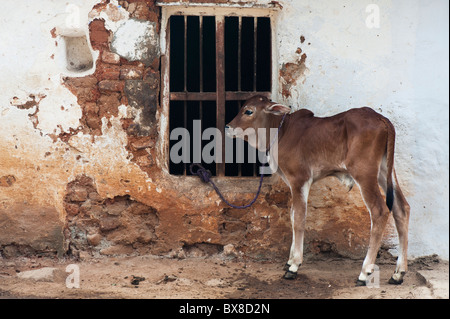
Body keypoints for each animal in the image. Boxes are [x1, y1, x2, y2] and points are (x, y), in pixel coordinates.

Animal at [227, 95, 410, 284]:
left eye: (249, 111)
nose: (228, 127)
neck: (281, 132)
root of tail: (381, 118)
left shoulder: (299, 179)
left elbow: (299, 219)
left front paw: (294, 266)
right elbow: (293, 215)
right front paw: (289, 261)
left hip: (364, 173)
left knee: (379, 211)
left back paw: (365, 272)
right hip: (384, 171)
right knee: (401, 208)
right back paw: (398, 273)